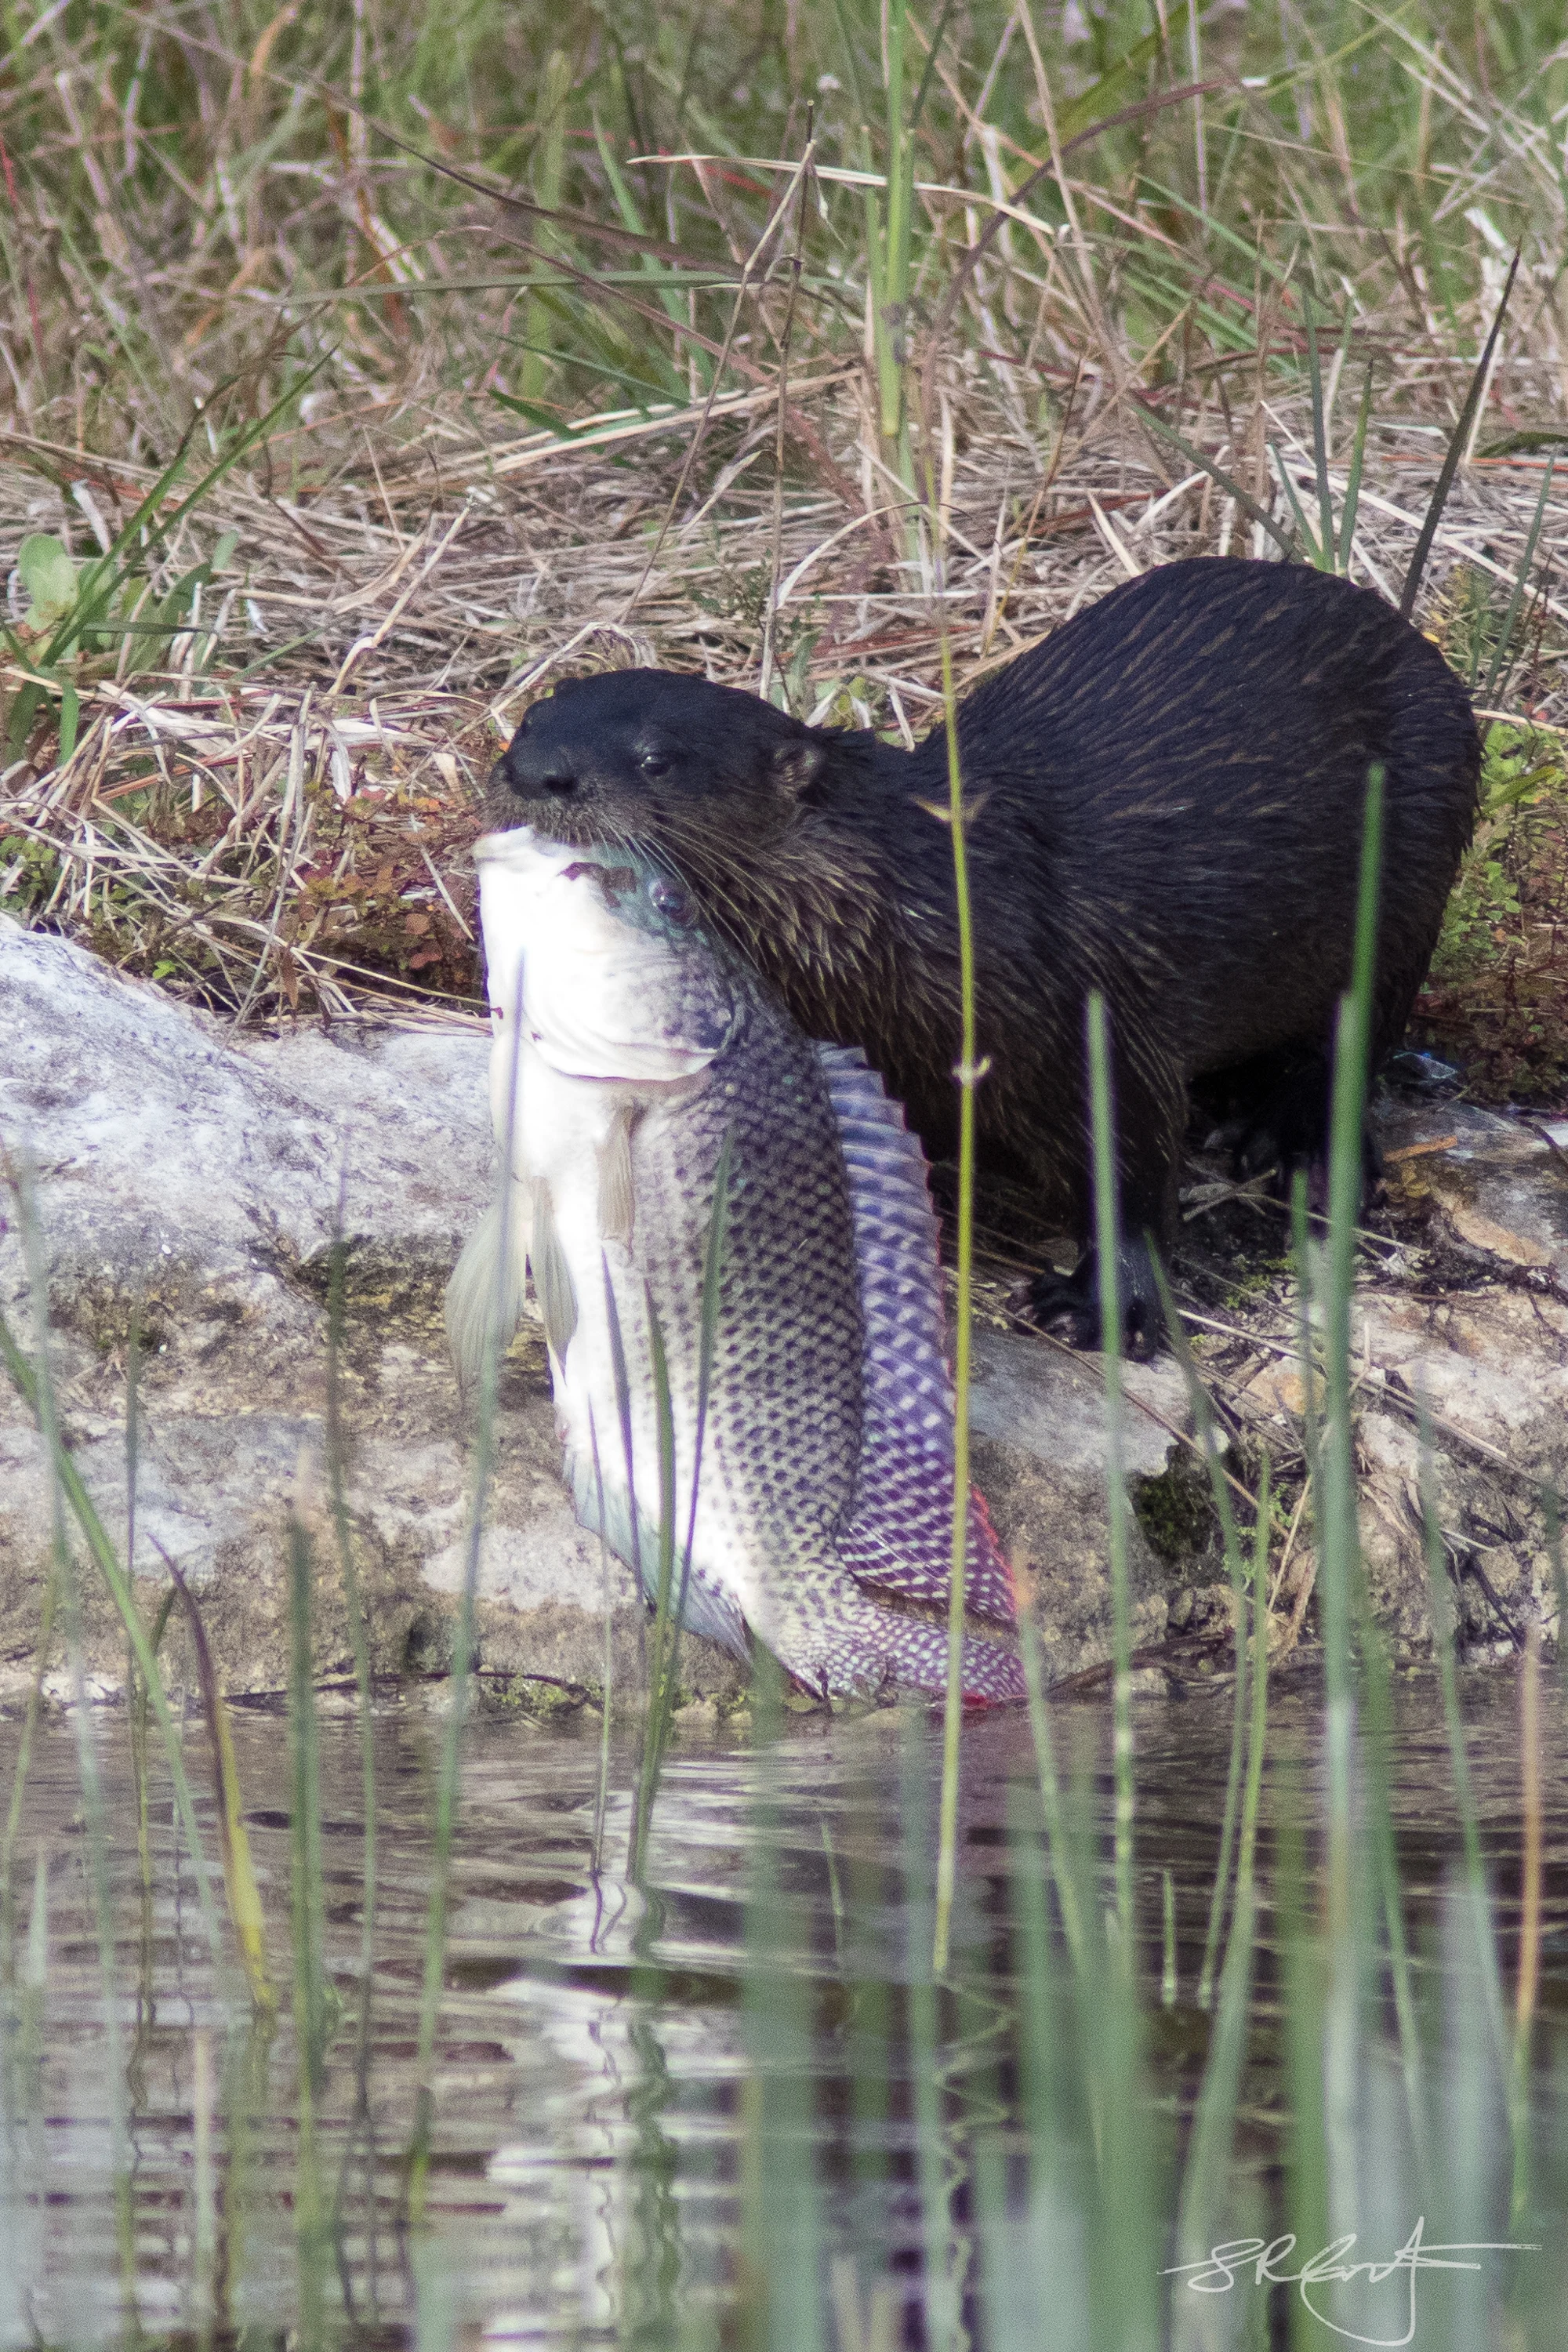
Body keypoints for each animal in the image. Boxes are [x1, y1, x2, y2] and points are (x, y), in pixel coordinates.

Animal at [482, 557, 1481, 1354]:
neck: (929, 920)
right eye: (532, 716)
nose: (534, 773)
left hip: (1412, 876)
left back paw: (1287, 1140)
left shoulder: (1080, 1012)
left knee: (1354, 1035)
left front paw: (1101, 1306)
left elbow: (1129, 1162)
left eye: (655, 759)